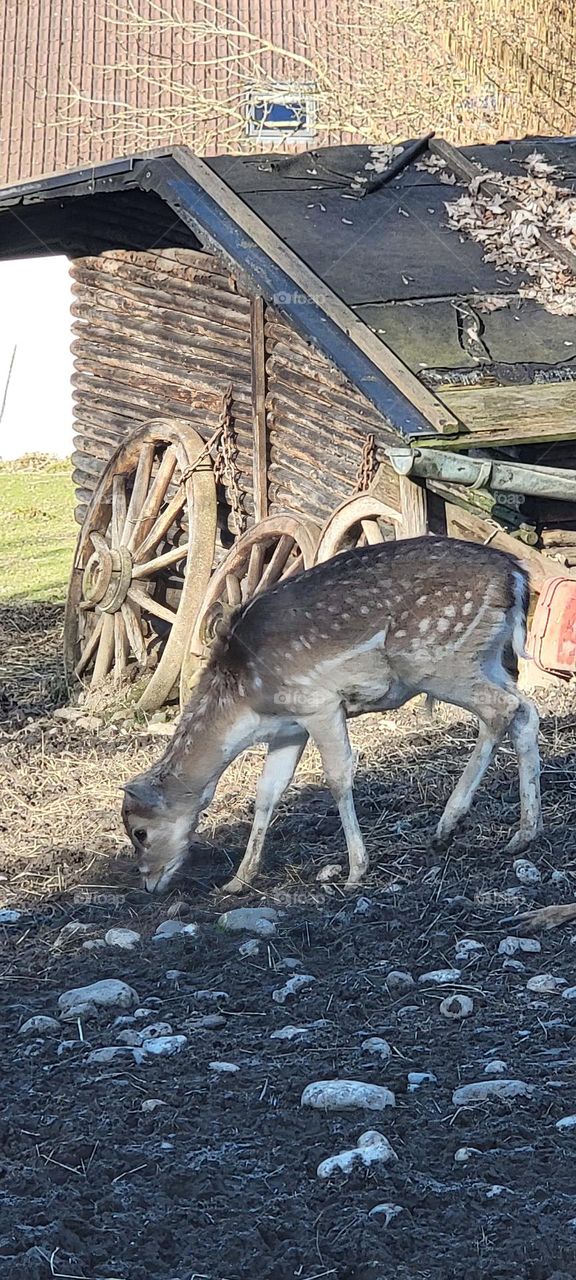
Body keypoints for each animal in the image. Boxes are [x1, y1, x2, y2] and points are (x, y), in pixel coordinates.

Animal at [122, 536, 542, 894]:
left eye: (139, 832)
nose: (149, 882)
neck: (247, 706)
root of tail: (517, 576)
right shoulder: (289, 727)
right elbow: (268, 791)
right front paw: (238, 881)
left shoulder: (318, 703)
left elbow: (338, 777)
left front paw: (356, 871)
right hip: (486, 658)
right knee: (526, 711)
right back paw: (523, 835)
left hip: (436, 660)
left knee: (501, 709)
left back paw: (446, 827)